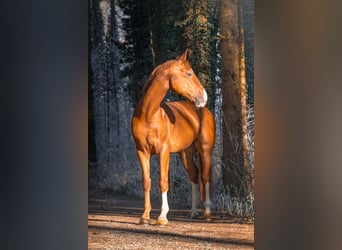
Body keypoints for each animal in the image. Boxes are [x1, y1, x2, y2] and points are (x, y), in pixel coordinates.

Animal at [132, 49, 215, 226]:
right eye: (189, 73)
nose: (204, 97)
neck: (149, 115)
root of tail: (203, 110)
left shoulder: (163, 152)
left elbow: (163, 182)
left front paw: (162, 217)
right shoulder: (142, 152)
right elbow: (146, 181)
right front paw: (145, 216)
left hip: (205, 151)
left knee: (205, 176)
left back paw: (207, 212)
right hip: (186, 153)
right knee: (194, 175)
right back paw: (193, 212)